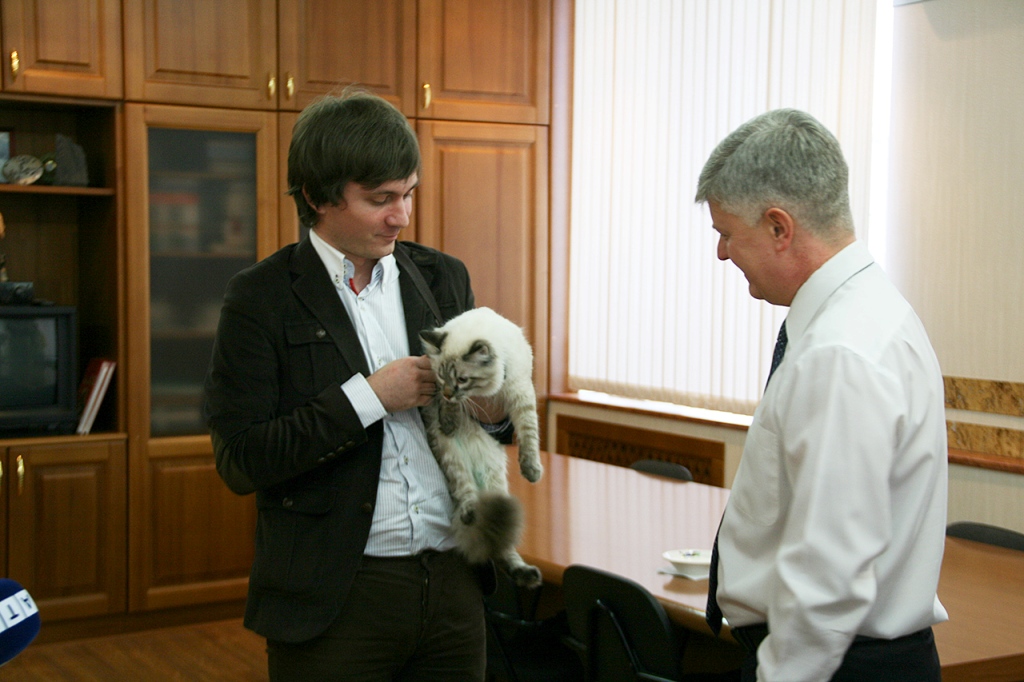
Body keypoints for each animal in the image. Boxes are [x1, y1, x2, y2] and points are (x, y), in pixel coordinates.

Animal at [419, 305, 544, 585]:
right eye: (441, 376)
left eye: (462, 380)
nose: (448, 393)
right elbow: (450, 410)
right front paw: (450, 421)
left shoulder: (520, 394)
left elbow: (529, 436)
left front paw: (531, 471)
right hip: (454, 461)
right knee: (467, 495)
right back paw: (470, 513)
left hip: (494, 480)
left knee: (502, 547)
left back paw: (526, 574)